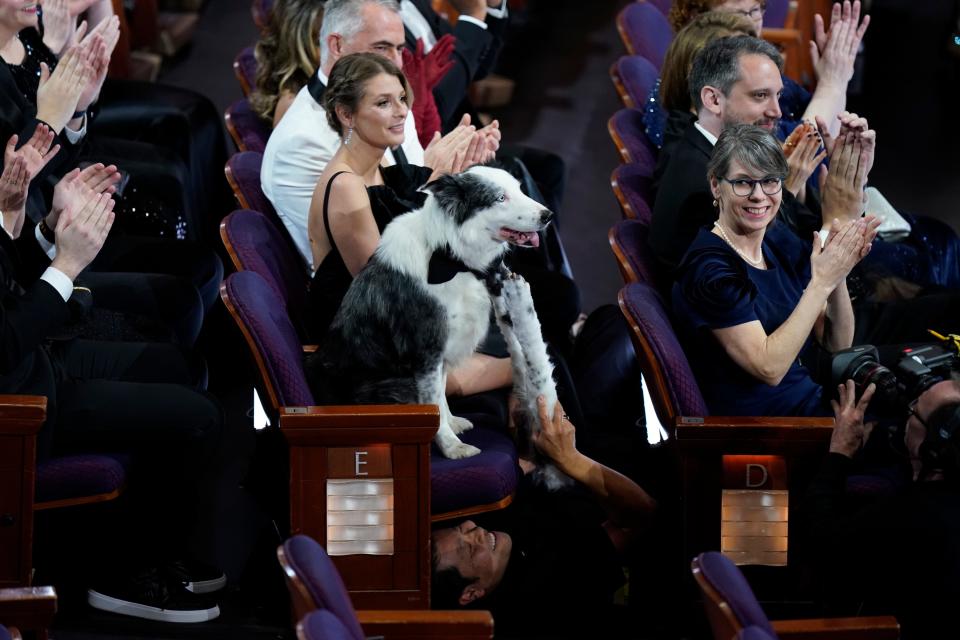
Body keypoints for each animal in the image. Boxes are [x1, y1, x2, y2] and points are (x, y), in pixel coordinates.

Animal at [316, 166, 568, 476]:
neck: (450, 257)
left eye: (519, 189)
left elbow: (441, 396)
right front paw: (452, 448)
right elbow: (432, 400)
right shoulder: (426, 351)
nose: (548, 215)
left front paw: (452, 423)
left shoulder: (444, 348)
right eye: (500, 197)